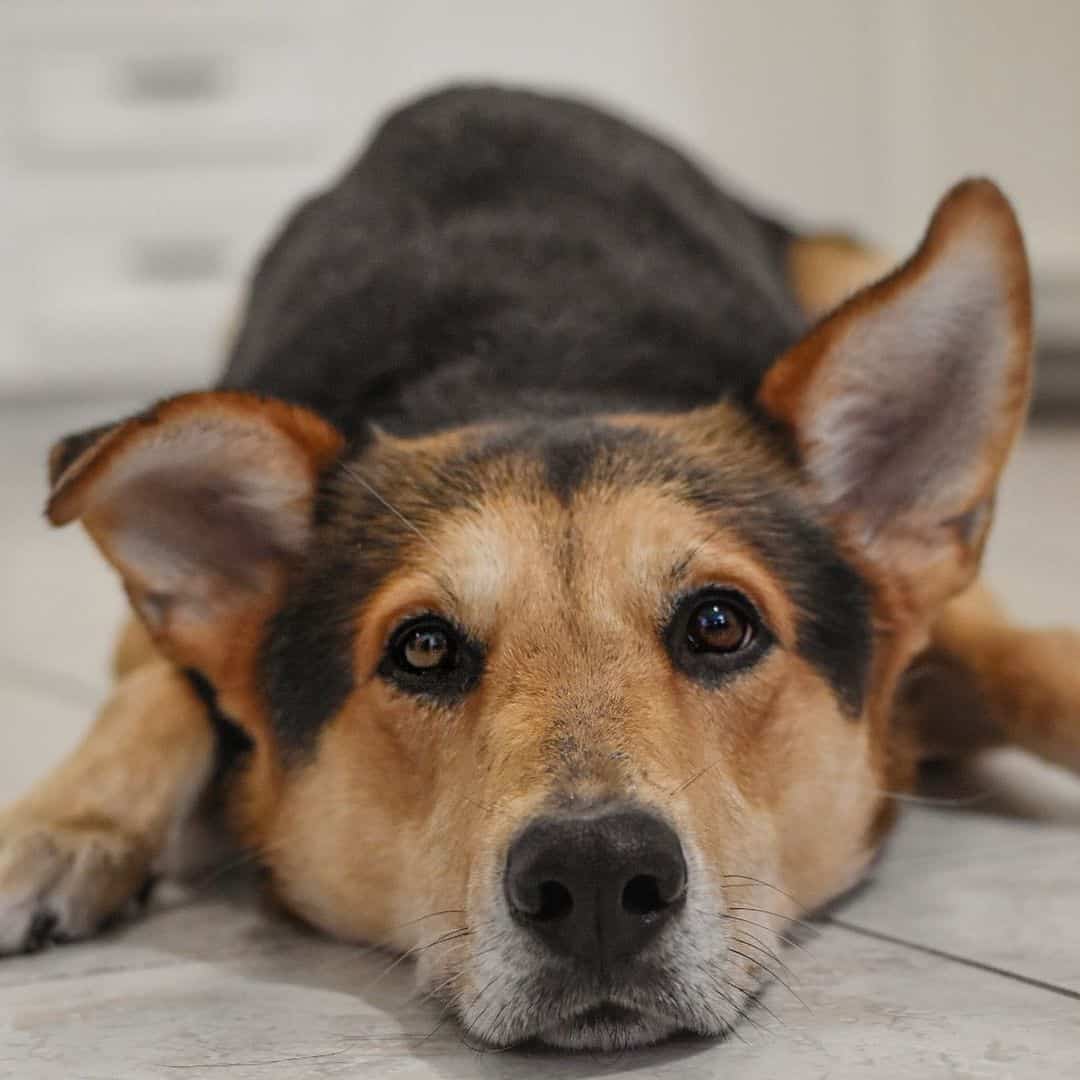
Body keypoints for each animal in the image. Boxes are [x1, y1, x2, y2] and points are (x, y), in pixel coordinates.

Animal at [2, 88, 1080, 1049]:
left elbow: (1027, 661)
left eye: (720, 623)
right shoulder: (151, 636)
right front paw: (64, 825)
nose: (598, 875)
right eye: (422, 648)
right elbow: (159, 687)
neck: (539, 376)